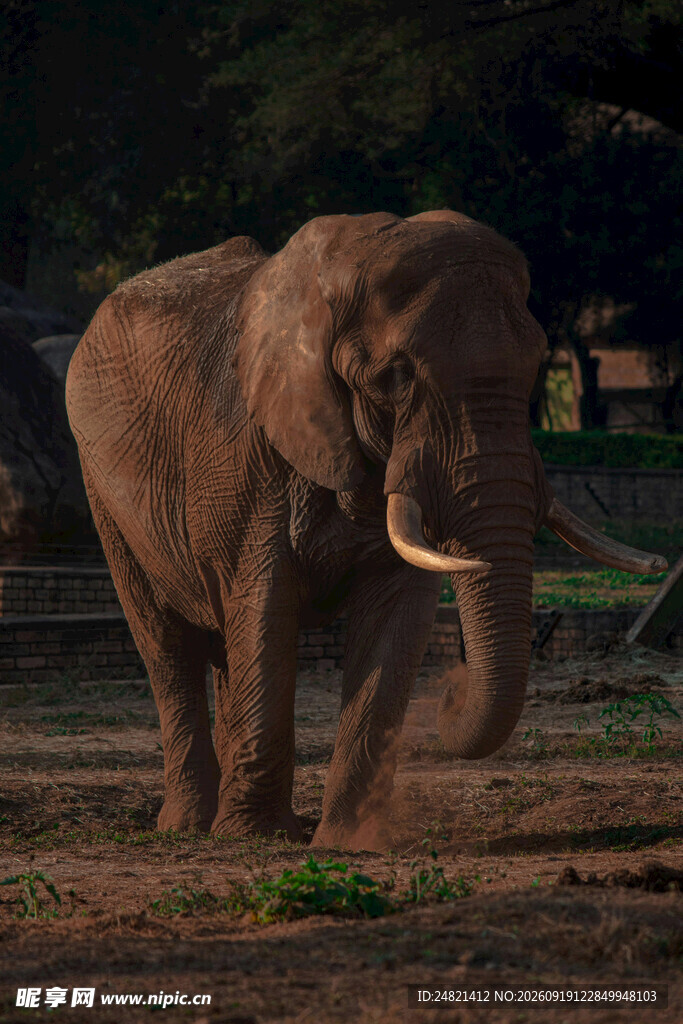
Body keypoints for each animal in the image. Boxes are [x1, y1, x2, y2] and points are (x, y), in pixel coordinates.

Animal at [65, 210, 666, 848]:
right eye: (397, 377)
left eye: (534, 371)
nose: (449, 692)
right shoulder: (243, 456)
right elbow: (265, 606)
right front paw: (256, 838)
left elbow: (395, 615)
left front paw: (345, 842)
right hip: (103, 490)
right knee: (167, 643)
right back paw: (190, 827)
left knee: (225, 646)